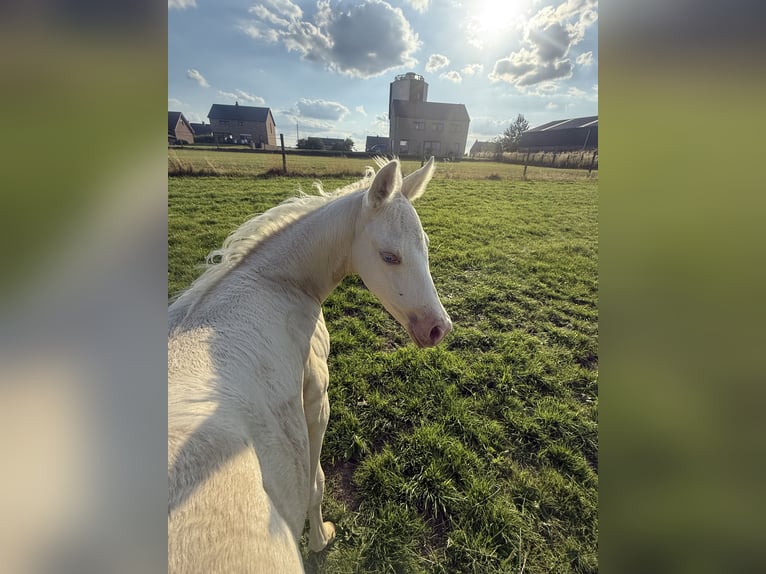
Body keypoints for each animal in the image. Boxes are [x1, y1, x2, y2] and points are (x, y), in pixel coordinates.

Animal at [168, 157, 452, 572]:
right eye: (389, 256)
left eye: (426, 246)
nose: (438, 328)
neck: (277, 283)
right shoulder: (317, 401)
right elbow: (316, 484)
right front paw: (321, 539)